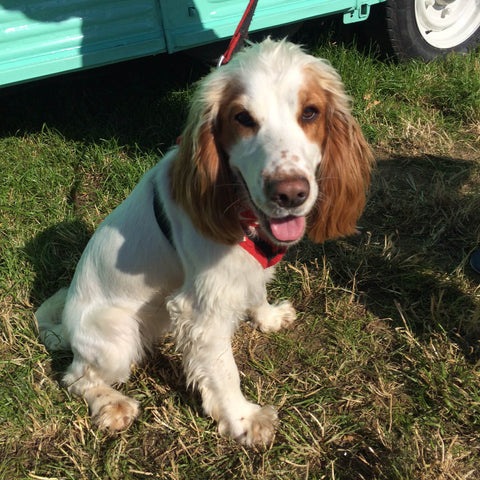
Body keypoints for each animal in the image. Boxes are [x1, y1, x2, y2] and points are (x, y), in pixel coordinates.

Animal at [36, 38, 376, 446]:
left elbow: (257, 294)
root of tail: (66, 323)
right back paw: (112, 406)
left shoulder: (245, 275)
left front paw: (269, 318)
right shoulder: (199, 311)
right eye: (243, 118)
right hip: (116, 338)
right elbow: (224, 371)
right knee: (76, 377)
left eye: (310, 112)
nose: (290, 193)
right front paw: (244, 420)